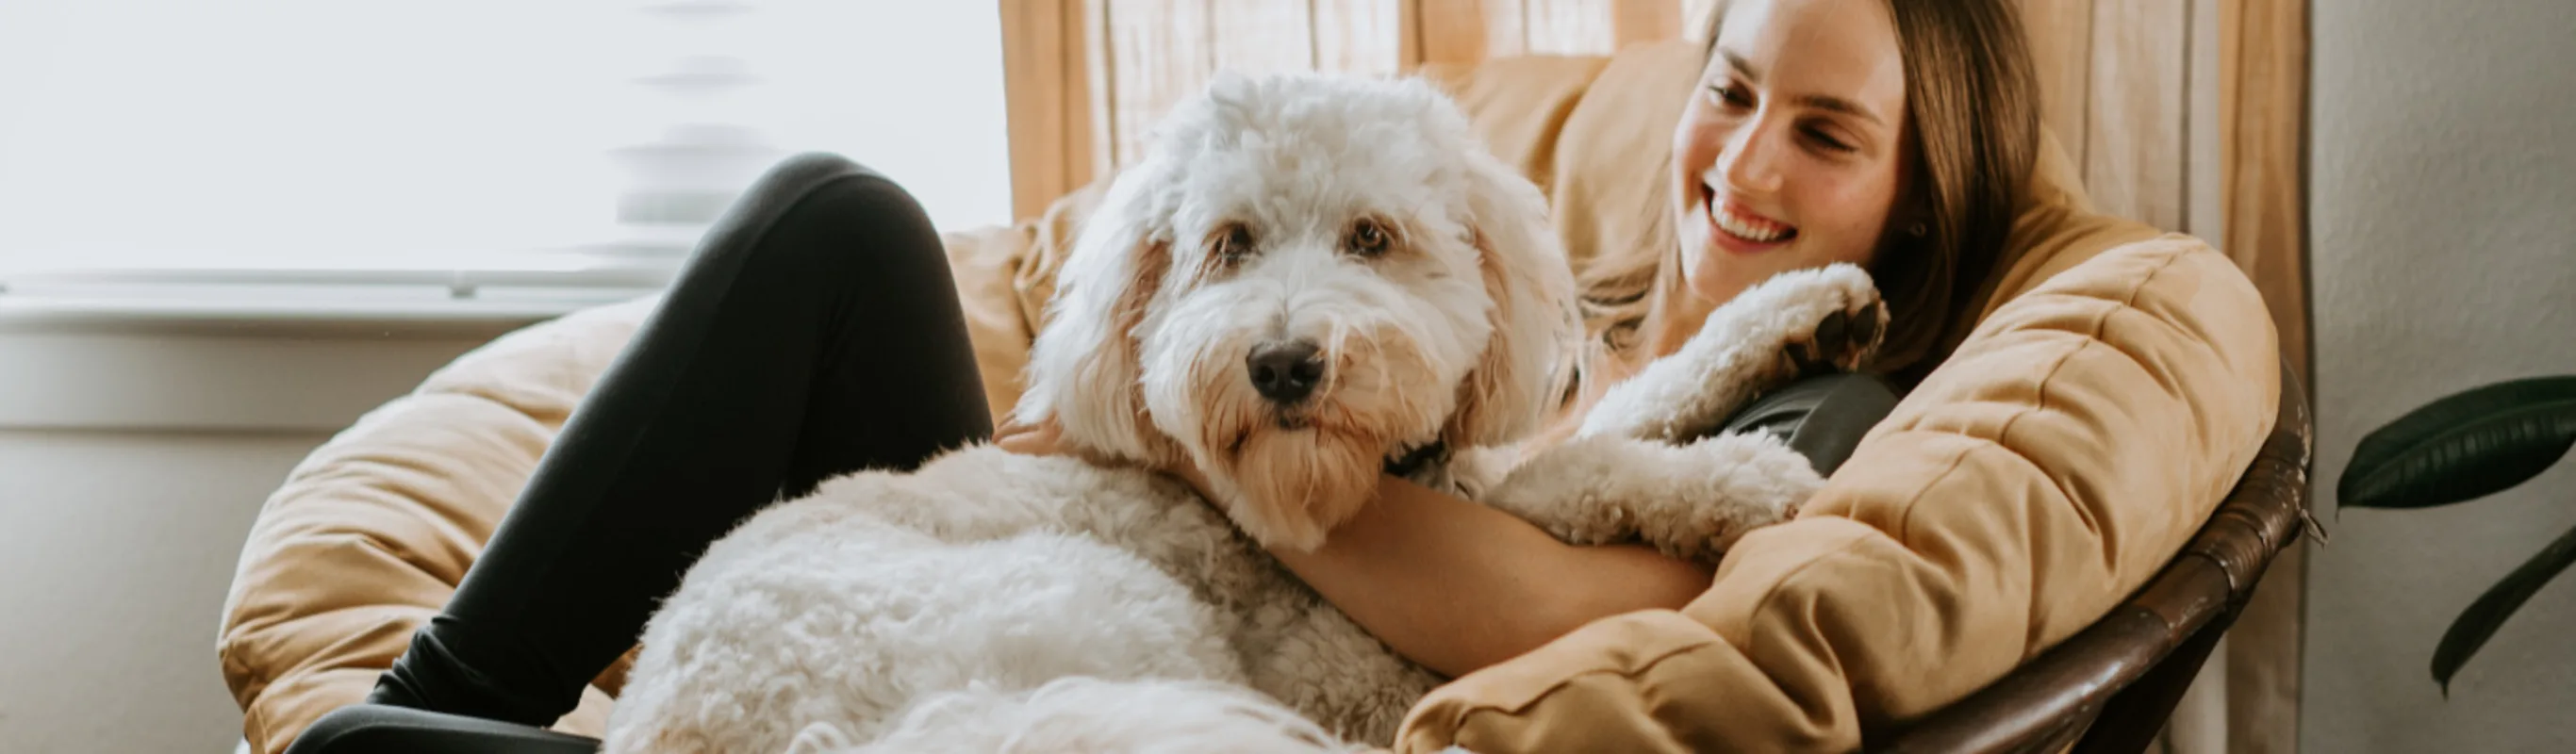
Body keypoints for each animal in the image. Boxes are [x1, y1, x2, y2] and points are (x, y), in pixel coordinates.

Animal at [603, 70, 1895, 751]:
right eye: (1226, 244)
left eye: (1371, 236)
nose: (1280, 363)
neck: (1375, 482)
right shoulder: (1351, 663)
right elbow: (1573, 469)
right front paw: (1733, 480)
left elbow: (1623, 407)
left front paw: (1806, 310)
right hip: (1111, 620)